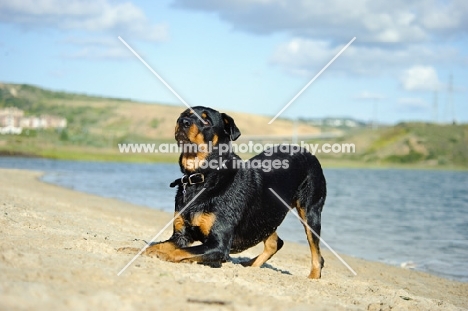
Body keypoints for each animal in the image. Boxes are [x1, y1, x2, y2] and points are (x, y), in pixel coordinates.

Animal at [120, 106, 326, 280]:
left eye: (206, 121)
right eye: (185, 114)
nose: (182, 121)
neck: (202, 177)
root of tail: (308, 152)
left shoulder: (218, 245)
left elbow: (177, 251)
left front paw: (158, 253)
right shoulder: (181, 235)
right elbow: (159, 243)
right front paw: (135, 249)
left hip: (310, 211)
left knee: (316, 253)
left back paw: (312, 278)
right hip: (266, 213)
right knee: (274, 241)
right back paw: (250, 266)